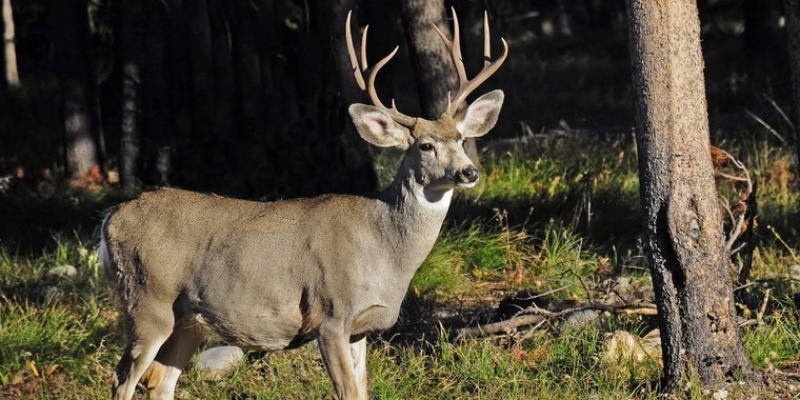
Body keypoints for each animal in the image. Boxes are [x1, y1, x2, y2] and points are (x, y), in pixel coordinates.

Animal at [101, 9, 506, 400]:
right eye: (425, 145)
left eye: (461, 138)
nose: (469, 171)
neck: (385, 252)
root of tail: (110, 218)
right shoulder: (330, 316)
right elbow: (347, 392)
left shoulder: (360, 329)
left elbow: (363, 392)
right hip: (147, 300)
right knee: (122, 379)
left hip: (189, 321)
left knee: (159, 382)